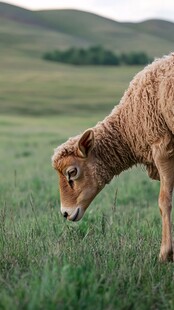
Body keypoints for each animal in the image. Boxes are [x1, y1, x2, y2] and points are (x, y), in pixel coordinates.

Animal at [52, 53, 174, 262]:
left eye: (72, 172)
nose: (65, 213)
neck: (130, 126)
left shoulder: (162, 148)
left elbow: (164, 201)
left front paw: (165, 254)